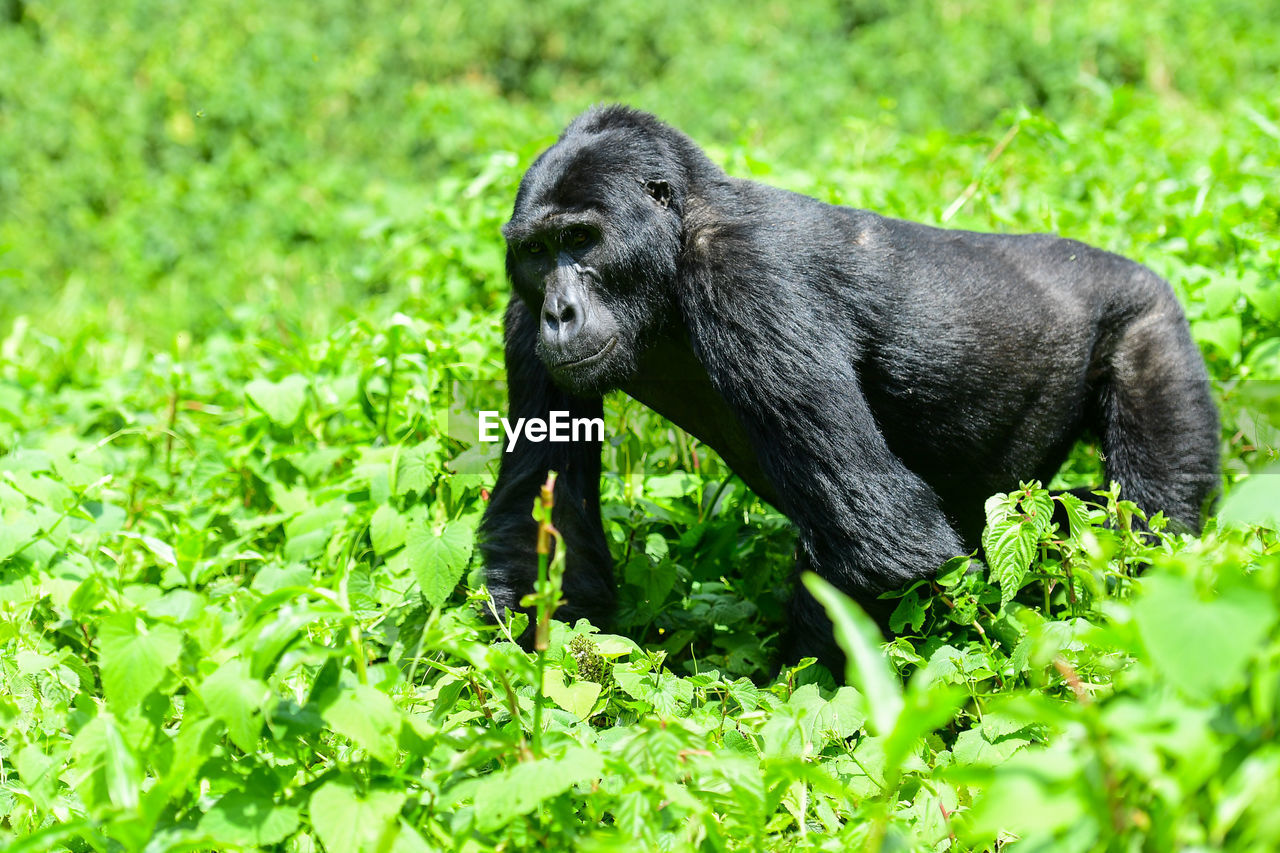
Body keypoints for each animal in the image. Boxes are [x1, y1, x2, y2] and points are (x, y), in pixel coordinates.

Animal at [481, 104, 1218, 666]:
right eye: (538, 252)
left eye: (582, 238)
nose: (559, 312)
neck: (680, 231)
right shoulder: (521, 312)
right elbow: (546, 518)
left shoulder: (750, 277)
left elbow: (884, 541)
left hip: (1148, 318)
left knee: (1143, 525)